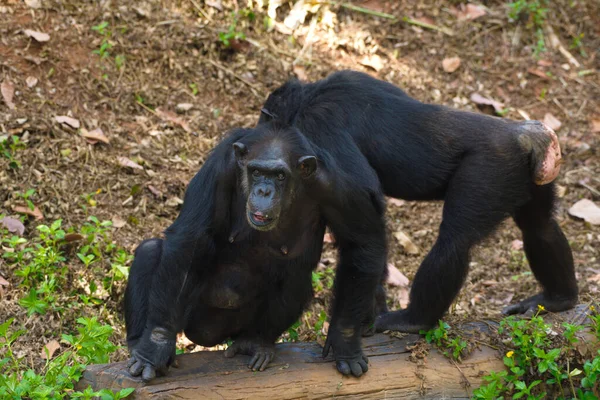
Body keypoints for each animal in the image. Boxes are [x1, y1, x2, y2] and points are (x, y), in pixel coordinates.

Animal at [125, 70, 576, 382]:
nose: (254, 125)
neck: (311, 94)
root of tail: (530, 137)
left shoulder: (320, 129)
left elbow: (367, 208)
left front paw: (354, 327)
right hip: (527, 179)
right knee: (540, 227)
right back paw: (558, 298)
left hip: (488, 170)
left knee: (454, 242)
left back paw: (412, 319)